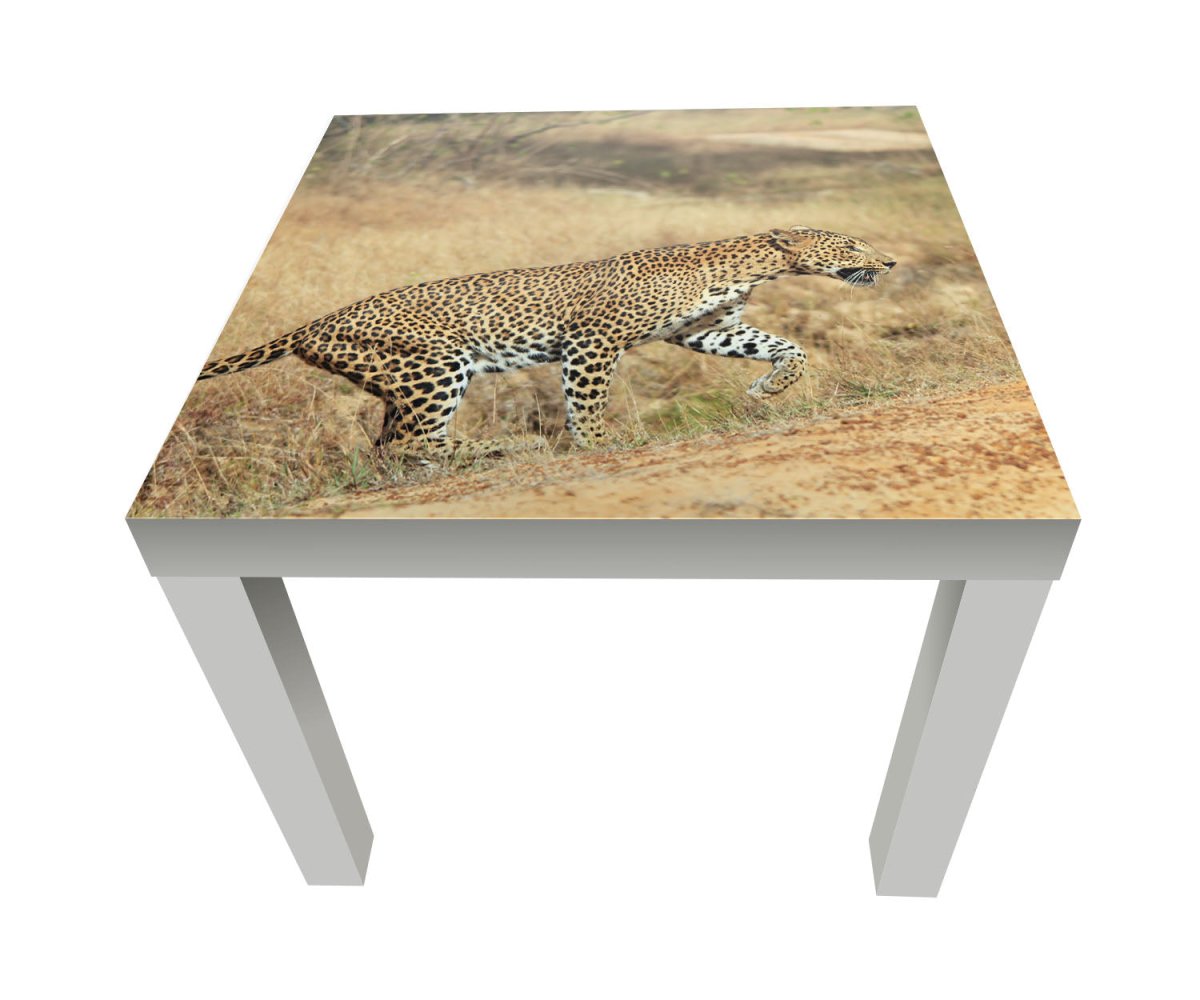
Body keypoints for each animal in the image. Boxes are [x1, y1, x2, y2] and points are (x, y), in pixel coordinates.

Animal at [197, 226, 896, 456]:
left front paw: (771, 384)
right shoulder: (593, 342)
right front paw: (598, 443)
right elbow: (586, 401)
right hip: (437, 366)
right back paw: (509, 445)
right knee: (411, 443)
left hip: (402, 382)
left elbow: (782, 346)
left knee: (392, 446)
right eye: (851, 245)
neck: (745, 267)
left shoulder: (704, 330)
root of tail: (313, 323)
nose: (888, 262)